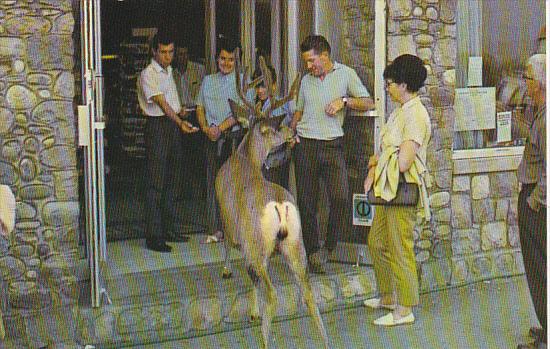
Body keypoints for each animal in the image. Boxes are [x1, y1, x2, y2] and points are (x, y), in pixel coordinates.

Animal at [215, 49, 328, 348]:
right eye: (277, 129)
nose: (293, 131)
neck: (246, 159)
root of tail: (279, 205)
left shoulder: (233, 225)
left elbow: (230, 249)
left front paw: (228, 273)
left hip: (260, 243)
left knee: (273, 293)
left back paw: (265, 340)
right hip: (295, 244)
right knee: (308, 292)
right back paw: (324, 340)